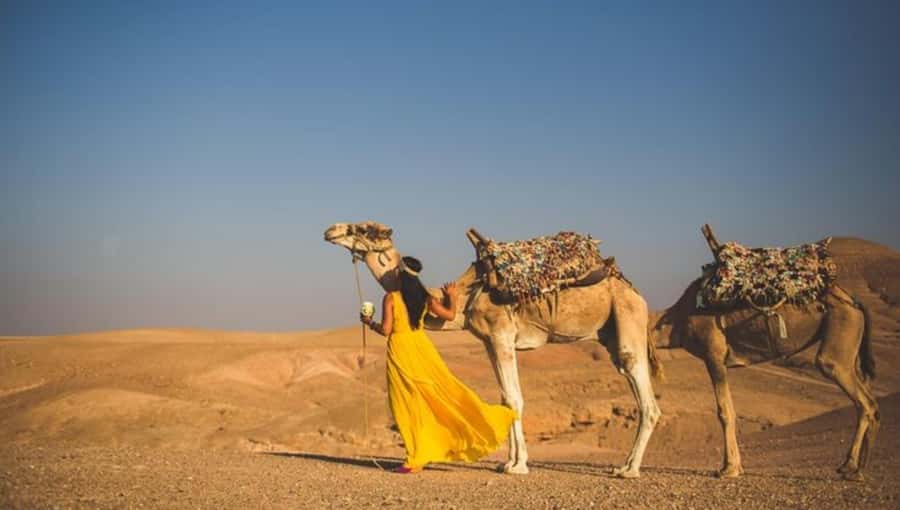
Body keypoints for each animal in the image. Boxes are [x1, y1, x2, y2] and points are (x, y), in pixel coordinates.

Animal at [324, 221, 662, 477]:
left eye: (366, 229)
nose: (331, 230)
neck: (465, 296)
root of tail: (636, 292)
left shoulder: (501, 335)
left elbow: (514, 398)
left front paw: (519, 466)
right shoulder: (489, 341)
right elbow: (504, 398)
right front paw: (507, 462)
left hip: (627, 318)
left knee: (646, 397)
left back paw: (628, 470)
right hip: (611, 331)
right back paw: (626, 466)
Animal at [650, 226, 878, 480]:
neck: (676, 319)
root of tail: (855, 302)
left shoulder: (713, 355)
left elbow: (725, 412)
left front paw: (728, 468)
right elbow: (729, 409)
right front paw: (736, 466)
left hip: (841, 332)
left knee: (861, 398)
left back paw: (850, 467)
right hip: (851, 346)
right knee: (871, 401)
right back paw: (859, 467)